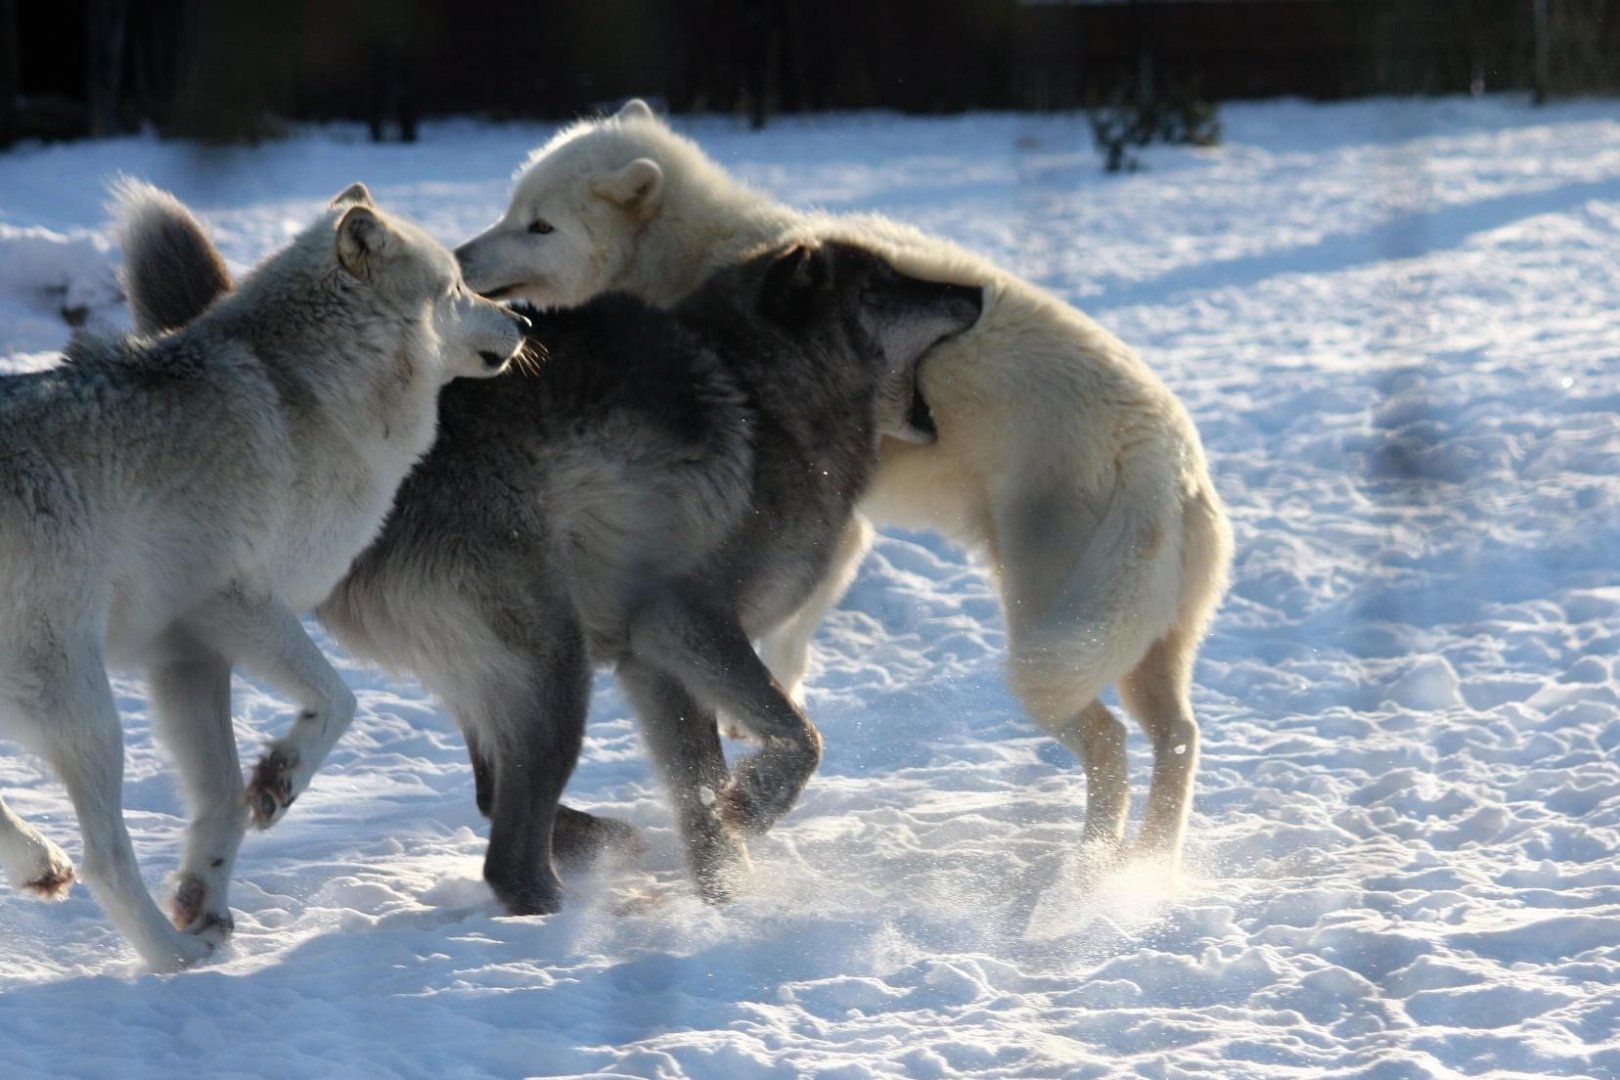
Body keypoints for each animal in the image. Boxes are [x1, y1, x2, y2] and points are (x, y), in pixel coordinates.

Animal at [0, 181, 524, 969]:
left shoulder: (188, 659)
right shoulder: (238, 606)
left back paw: (45, 867)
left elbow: (220, 798)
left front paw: (204, 896)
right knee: (106, 858)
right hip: (85, 708)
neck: (311, 389)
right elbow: (339, 701)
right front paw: (280, 780)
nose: (523, 320)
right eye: (457, 287)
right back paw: (169, 957)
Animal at [124, 205, 982, 913]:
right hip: (556, 666)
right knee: (504, 854)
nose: (975, 289)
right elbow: (801, 742)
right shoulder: (682, 621)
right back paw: (563, 917)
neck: (768, 391)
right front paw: (748, 821)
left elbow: (700, 794)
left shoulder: (651, 662)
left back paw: (607, 848)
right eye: (885, 284)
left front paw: (725, 895)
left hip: (523, 671)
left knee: (489, 794)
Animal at [455, 100, 1234, 871]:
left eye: (539, 226)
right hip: (1138, 648)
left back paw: (1092, 867)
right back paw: (1149, 866)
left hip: (1051, 637)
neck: (700, 253)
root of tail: (1167, 457)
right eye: (510, 210)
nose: (457, 259)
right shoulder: (836, 528)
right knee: (1179, 735)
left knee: (1110, 741)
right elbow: (785, 640)